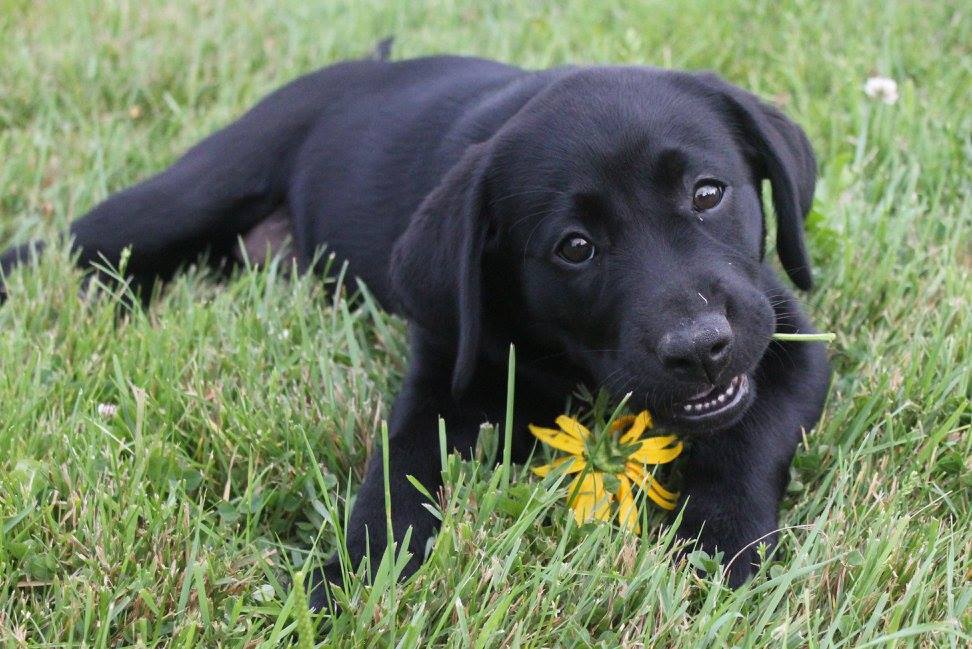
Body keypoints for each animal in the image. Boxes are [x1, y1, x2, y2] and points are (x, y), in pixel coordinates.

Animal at [0, 50, 828, 604]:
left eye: (708, 193)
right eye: (576, 247)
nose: (700, 349)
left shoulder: (783, 334)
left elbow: (749, 440)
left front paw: (722, 551)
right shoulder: (443, 375)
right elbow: (398, 479)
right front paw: (345, 582)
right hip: (191, 190)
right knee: (78, 243)